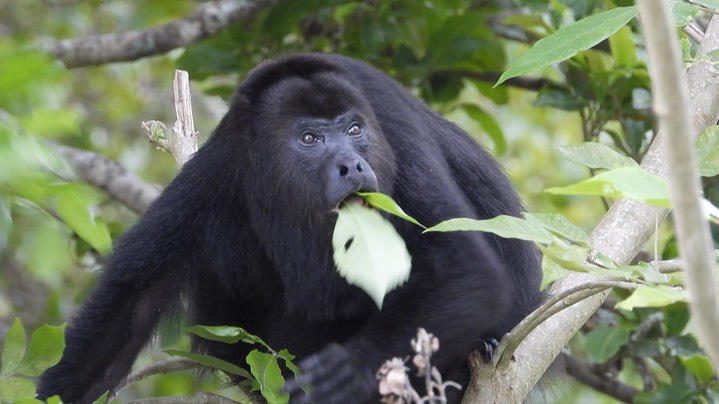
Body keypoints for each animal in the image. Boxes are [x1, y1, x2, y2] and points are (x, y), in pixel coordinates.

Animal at [36, 54, 544, 404]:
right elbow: (132, 301)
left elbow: (468, 271)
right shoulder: (223, 163)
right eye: (309, 139)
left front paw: (351, 369)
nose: (352, 164)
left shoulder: (393, 130)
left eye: (355, 130)